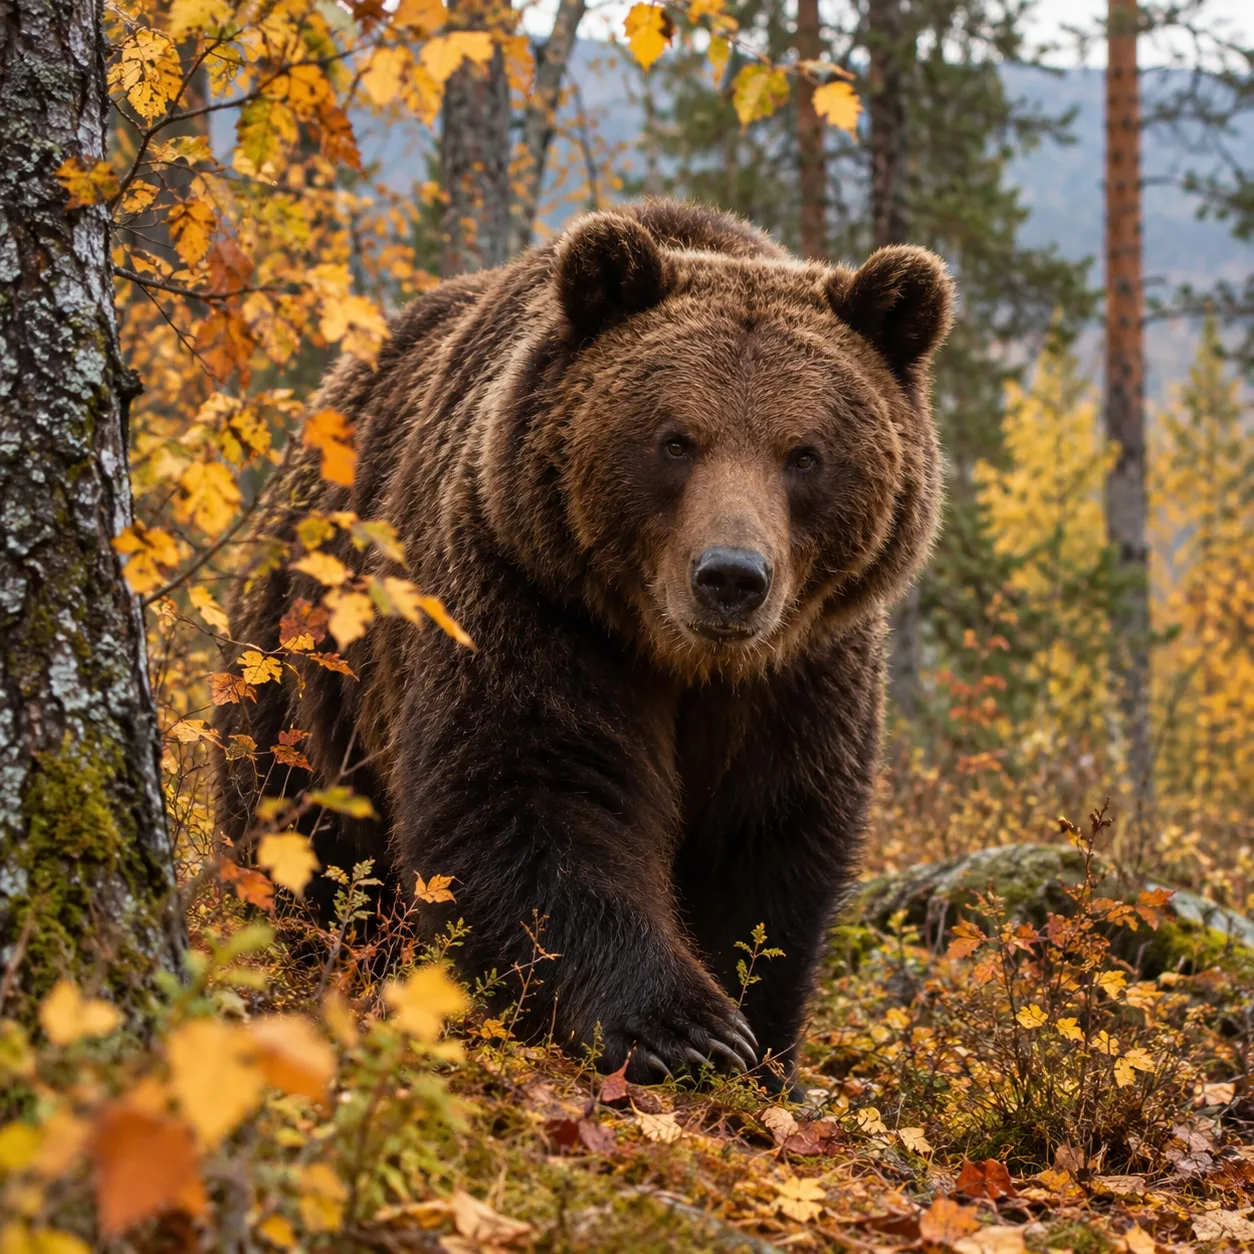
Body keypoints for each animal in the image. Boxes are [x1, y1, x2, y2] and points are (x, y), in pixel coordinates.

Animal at [217, 199, 953, 1089]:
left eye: (804, 454)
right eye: (677, 440)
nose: (732, 577)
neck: (688, 661)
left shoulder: (804, 672)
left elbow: (769, 840)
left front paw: (761, 1044)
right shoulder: (526, 597)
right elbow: (535, 797)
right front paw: (684, 1029)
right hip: (300, 666)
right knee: (296, 830)